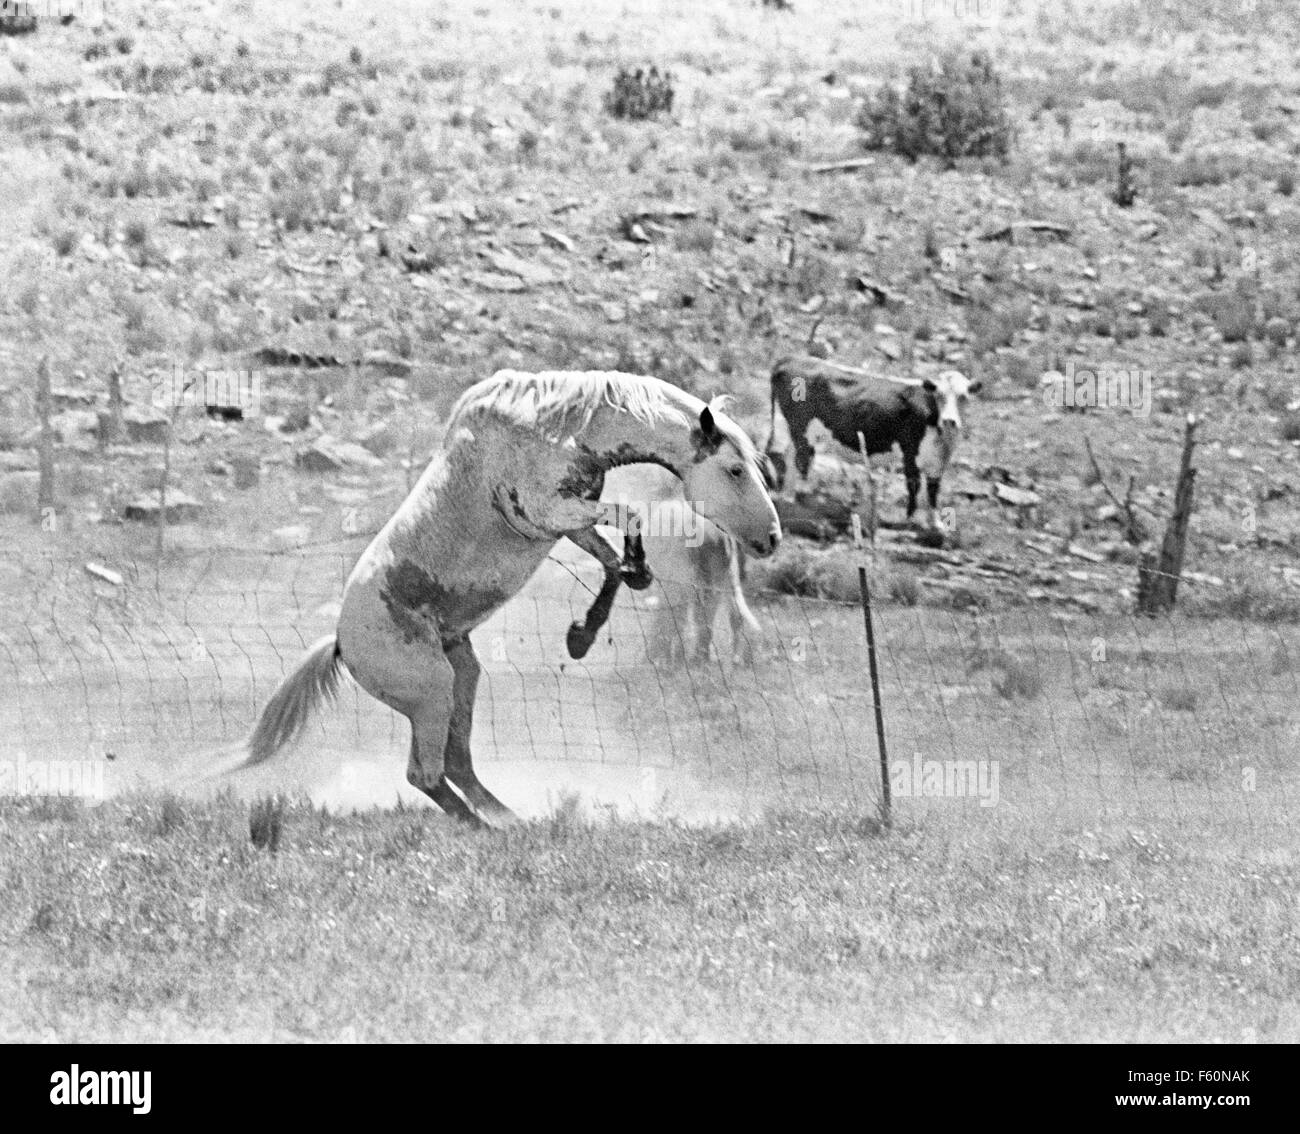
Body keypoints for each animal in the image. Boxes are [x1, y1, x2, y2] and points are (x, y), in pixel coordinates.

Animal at [235, 369, 782, 826]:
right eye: (735, 470)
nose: (772, 538)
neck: (561, 428)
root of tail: (341, 644)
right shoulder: (550, 511)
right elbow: (630, 518)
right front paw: (602, 611)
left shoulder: (573, 520)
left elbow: (612, 563)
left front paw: (586, 630)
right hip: (431, 690)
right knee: (425, 774)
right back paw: (482, 829)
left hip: (462, 677)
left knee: (456, 763)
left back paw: (509, 818)